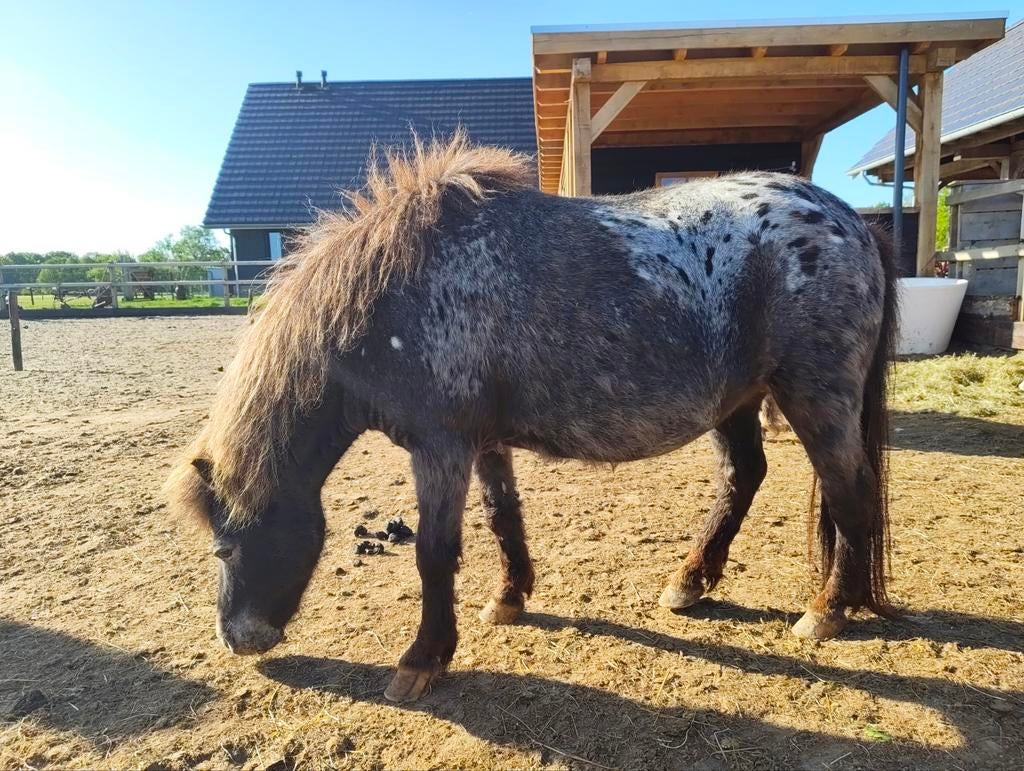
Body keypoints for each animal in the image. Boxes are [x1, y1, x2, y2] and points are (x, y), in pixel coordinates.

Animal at [167, 131, 898, 703]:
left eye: (222, 546)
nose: (236, 639)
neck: (397, 293)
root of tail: (852, 222)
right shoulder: (483, 444)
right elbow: (502, 518)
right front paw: (510, 597)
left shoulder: (440, 447)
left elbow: (434, 553)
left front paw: (422, 660)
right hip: (741, 400)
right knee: (744, 476)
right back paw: (690, 582)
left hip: (816, 397)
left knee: (850, 492)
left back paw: (828, 610)